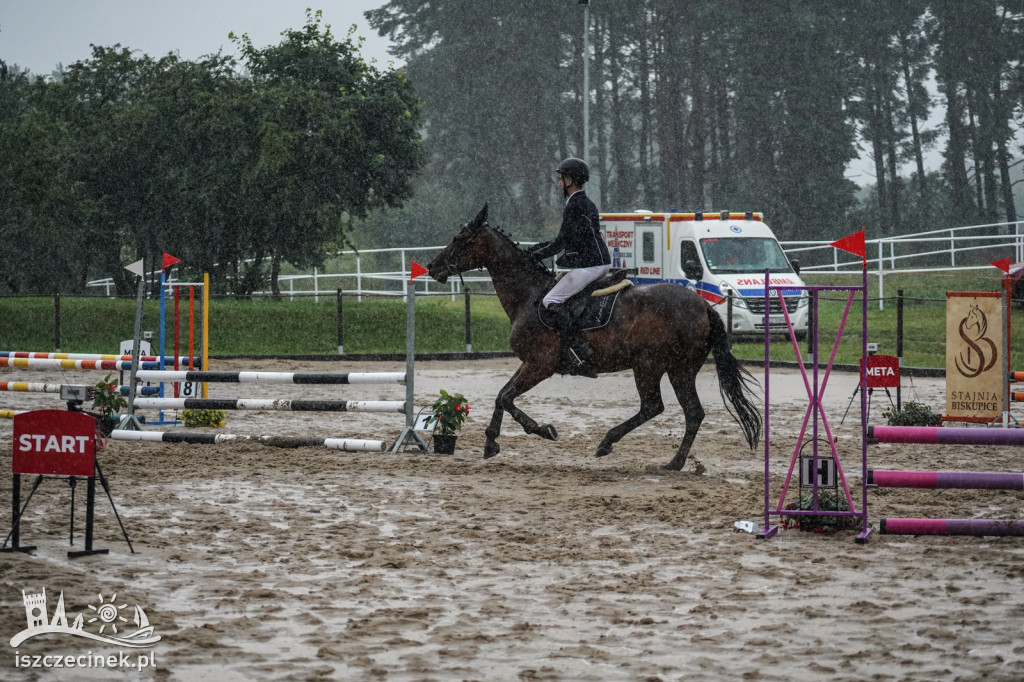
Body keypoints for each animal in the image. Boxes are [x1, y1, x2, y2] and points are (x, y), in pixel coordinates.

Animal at [425, 201, 761, 466]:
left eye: (459, 239)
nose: (431, 267)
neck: (529, 296)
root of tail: (702, 306)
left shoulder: (540, 364)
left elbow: (507, 397)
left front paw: (542, 430)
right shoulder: (529, 363)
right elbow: (500, 396)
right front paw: (492, 441)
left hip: (650, 365)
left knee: (654, 406)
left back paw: (609, 443)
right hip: (681, 369)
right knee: (692, 413)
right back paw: (674, 462)